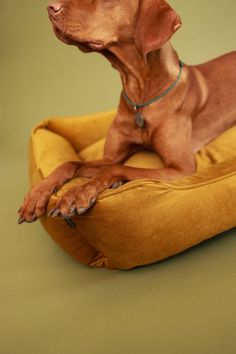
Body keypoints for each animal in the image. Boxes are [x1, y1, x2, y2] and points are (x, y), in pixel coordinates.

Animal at [18, 0, 236, 224]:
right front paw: (36, 195)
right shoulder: (111, 156)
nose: (51, 7)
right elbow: (70, 162)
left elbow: (119, 168)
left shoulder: (182, 168)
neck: (141, 98)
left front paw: (77, 194)